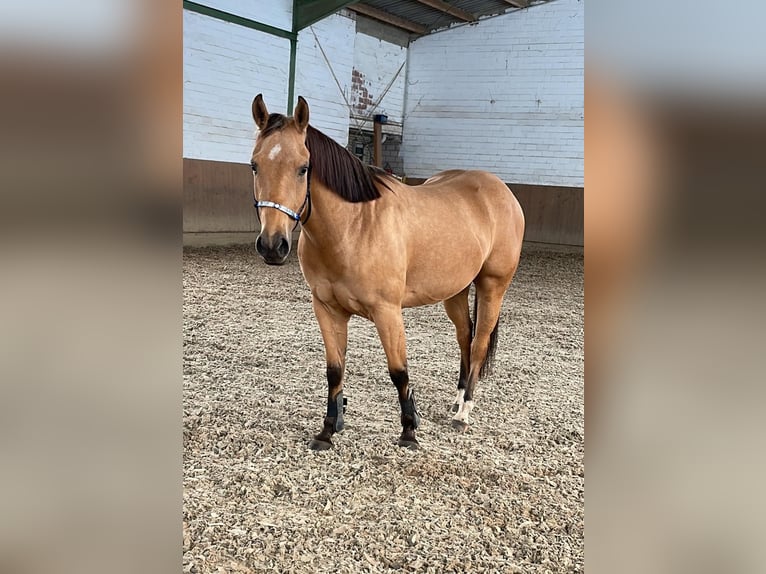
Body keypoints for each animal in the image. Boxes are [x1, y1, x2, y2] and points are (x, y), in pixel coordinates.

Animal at [252, 94, 528, 452]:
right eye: (254, 165)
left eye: (303, 168)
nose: (273, 245)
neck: (355, 226)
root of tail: (502, 191)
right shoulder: (327, 309)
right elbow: (334, 369)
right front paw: (328, 430)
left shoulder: (388, 312)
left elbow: (399, 371)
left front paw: (409, 432)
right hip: (454, 291)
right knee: (464, 338)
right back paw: (456, 400)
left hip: (492, 286)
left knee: (479, 342)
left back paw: (463, 413)